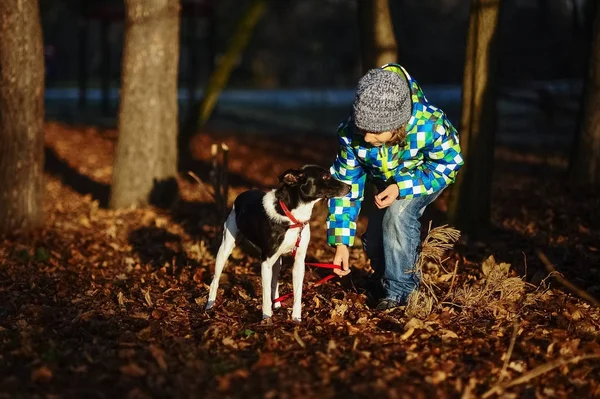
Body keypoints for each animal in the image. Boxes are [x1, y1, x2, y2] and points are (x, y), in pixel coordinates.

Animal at [205, 165, 350, 322]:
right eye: (325, 176)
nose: (349, 186)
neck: (293, 217)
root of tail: (243, 194)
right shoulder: (266, 261)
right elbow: (265, 293)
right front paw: (267, 317)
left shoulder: (299, 262)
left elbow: (297, 294)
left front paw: (296, 318)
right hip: (226, 248)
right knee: (215, 279)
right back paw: (210, 304)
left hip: (277, 261)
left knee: (275, 282)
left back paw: (277, 303)